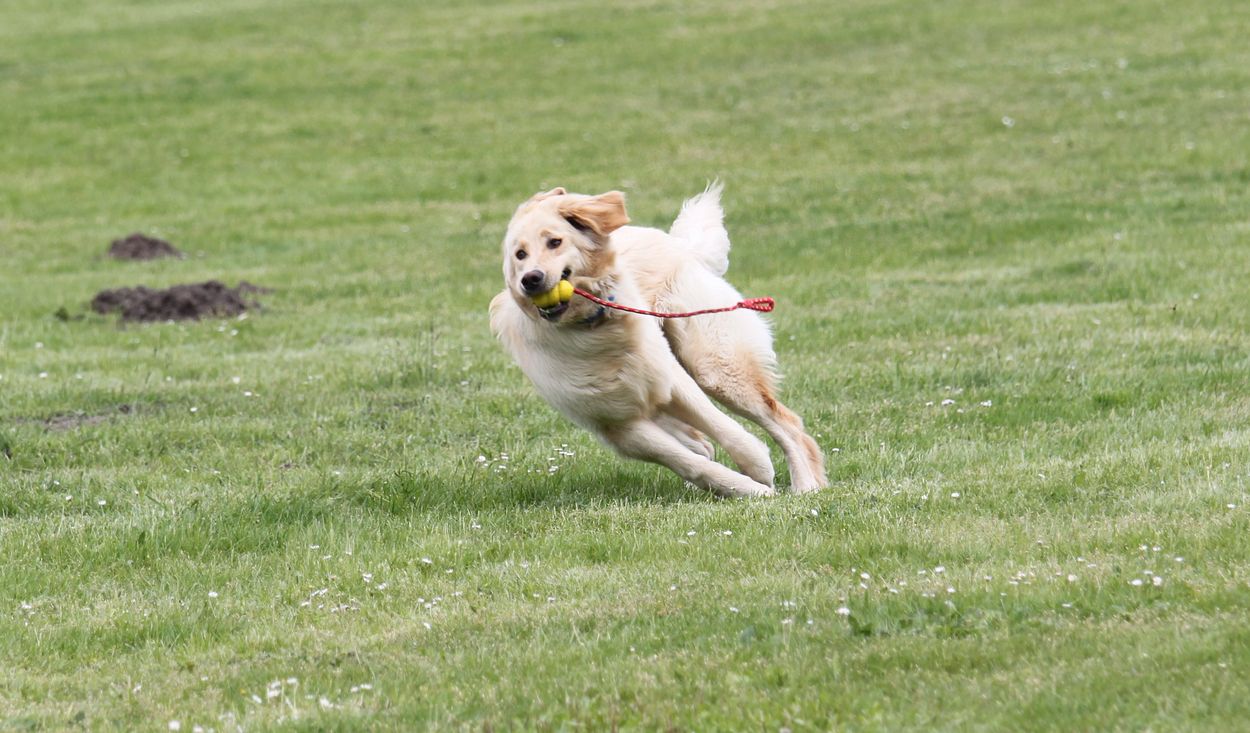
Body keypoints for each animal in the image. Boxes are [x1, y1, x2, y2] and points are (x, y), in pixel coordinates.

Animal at [489, 184, 827, 498]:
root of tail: (678, 244)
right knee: (701, 446)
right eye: (520, 255)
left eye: (555, 242)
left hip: (714, 367)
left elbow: (724, 427)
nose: (530, 279)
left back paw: (805, 486)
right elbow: (689, 462)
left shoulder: (669, 379)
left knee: (786, 423)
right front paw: (745, 488)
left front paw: (758, 468)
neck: (593, 327)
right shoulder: (618, 426)